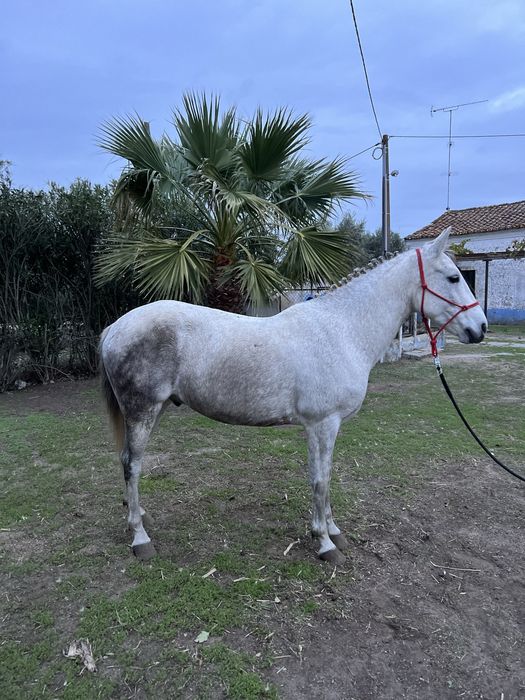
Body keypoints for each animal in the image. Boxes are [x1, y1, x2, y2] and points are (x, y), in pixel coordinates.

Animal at [99, 227, 487, 564]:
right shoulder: (322, 424)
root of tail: (115, 328)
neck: (342, 330)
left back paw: (140, 514)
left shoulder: (323, 427)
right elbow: (321, 480)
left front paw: (332, 529)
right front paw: (325, 542)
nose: (480, 328)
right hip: (142, 410)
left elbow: (325, 475)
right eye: (454, 278)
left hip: (158, 408)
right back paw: (140, 537)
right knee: (131, 463)